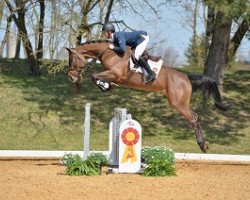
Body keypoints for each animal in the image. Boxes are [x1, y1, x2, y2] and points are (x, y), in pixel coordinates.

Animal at [65, 40, 228, 153]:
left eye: (72, 60)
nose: (72, 78)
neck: (109, 53)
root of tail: (186, 77)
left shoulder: (115, 74)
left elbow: (94, 76)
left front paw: (105, 86)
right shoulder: (111, 74)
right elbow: (96, 77)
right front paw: (107, 86)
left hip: (178, 103)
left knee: (194, 118)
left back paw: (203, 145)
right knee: (195, 117)